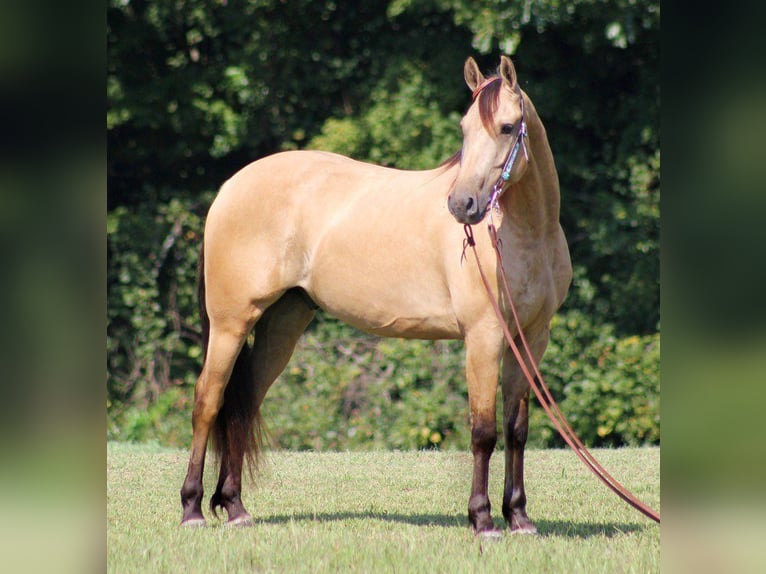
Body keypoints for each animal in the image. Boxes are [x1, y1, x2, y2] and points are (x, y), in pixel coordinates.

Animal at [183, 56, 572, 536]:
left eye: (506, 127)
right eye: (464, 129)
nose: (462, 205)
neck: (525, 235)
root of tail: (229, 188)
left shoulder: (530, 339)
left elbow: (517, 429)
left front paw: (518, 516)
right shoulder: (483, 339)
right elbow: (483, 432)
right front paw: (482, 519)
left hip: (282, 324)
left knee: (245, 404)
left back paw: (235, 507)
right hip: (231, 323)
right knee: (208, 400)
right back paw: (192, 508)